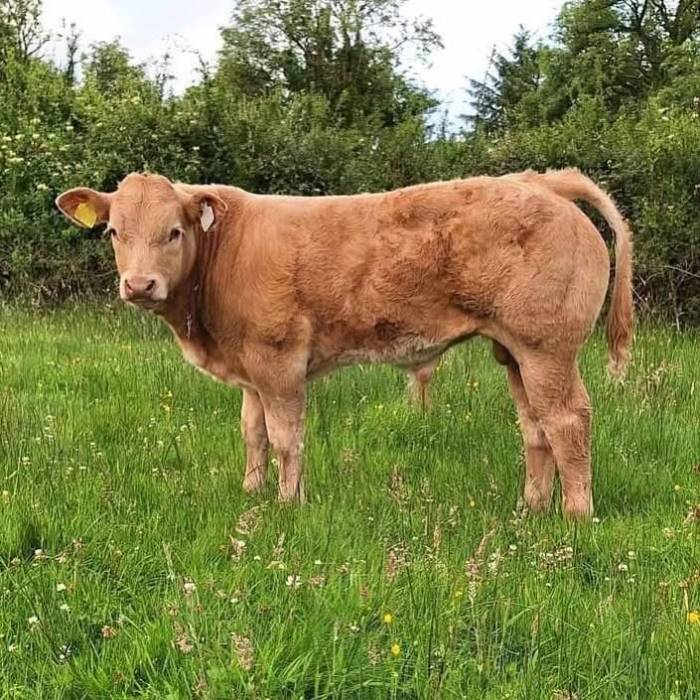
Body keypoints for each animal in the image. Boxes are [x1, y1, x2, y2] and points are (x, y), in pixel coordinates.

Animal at [56, 169, 633, 519]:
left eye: (174, 231)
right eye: (113, 232)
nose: (139, 285)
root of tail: (542, 181)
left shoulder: (278, 360)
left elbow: (285, 437)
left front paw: (288, 504)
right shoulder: (249, 368)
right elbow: (252, 434)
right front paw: (251, 493)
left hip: (547, 348)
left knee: (567, 421)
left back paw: (576, 515)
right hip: (514, 350)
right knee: (534, 426)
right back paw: (531, 509)